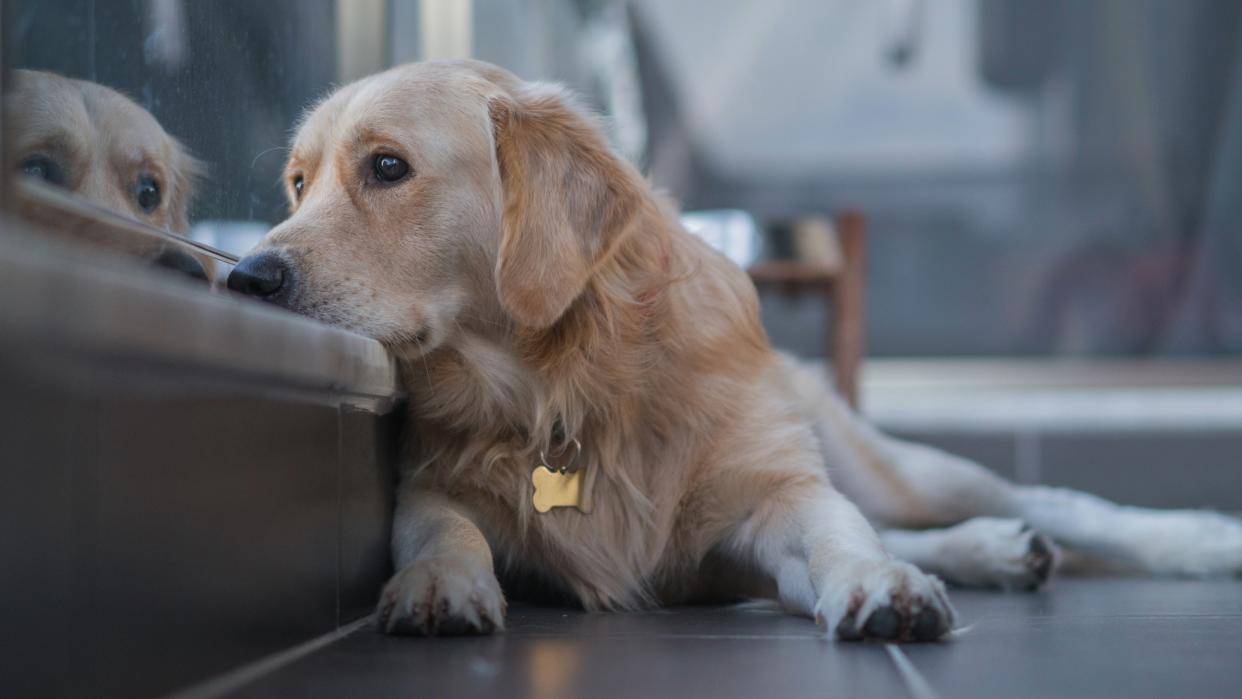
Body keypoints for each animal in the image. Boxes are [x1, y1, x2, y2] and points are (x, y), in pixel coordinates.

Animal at [226, 61, 1242, 645]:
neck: (563, 383)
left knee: (1042, 500)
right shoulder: (434, 481)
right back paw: (993, 550)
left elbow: (836, 532)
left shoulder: (771, 494)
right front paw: (438, 583)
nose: (246, 275)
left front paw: (879, 584)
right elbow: (443, 527)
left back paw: (1189, 539)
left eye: (388, 167)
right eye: (298, 182)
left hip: (889, 463)